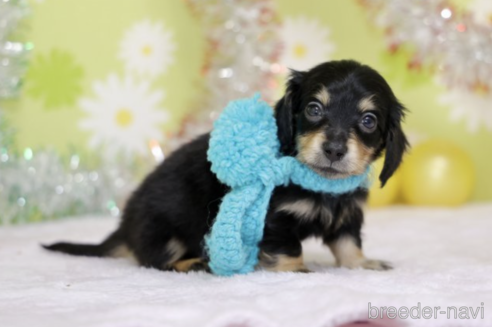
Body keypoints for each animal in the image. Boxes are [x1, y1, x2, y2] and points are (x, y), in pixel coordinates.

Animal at [45, 60, 408, 272]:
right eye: (314, 109)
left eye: (369, 120)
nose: (333, 149)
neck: (321, 184)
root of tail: (124, 227)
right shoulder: (275, 219)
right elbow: (288, 248)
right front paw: (295, 271)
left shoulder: (348, 215)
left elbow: (348, 243)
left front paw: (363, 264)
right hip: (167, 231)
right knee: (158, 260)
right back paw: (196, 263)